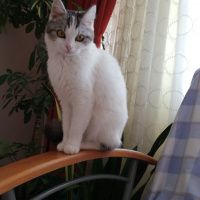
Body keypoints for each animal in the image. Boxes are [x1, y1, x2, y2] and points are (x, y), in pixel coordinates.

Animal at [44, 0, 127, 154]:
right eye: (60, 33)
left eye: (80, 38)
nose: (69, 47)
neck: (66, 63)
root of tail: (118, 137)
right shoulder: (65, 102)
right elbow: (67, 125)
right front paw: (64, 143)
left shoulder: (83, 102)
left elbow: (76, 127)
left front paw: (71, 145)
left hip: (101, 122)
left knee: (105, 145)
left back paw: (83, 144)